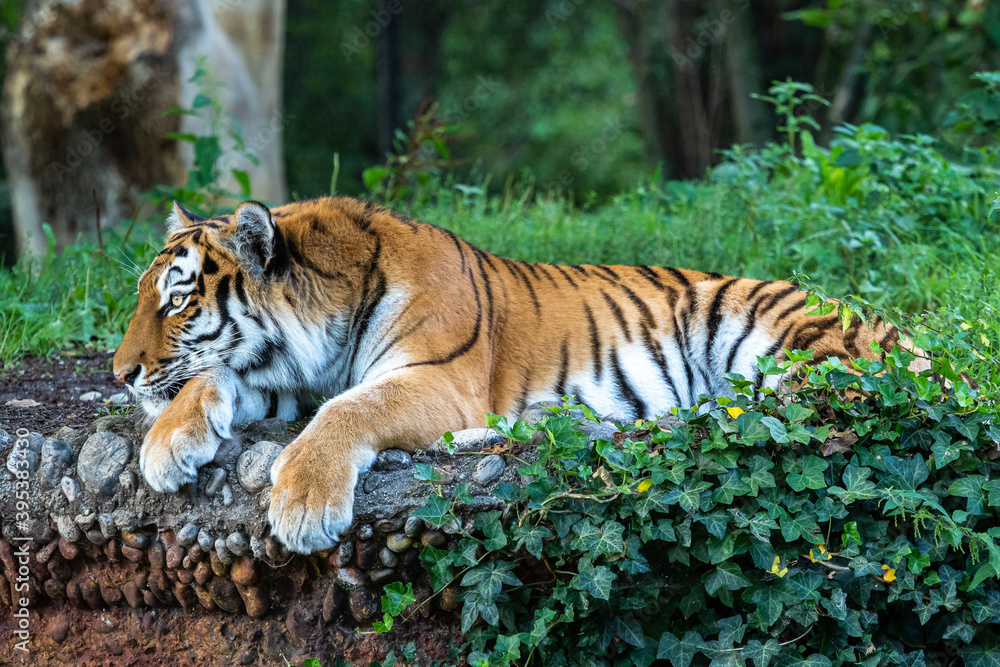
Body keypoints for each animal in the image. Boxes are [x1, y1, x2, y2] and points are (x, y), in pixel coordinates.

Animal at [112, 197, 928, 554]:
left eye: (178, 299)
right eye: (147, 296)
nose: (120, 373)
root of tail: (895, 330)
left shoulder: (436, 377)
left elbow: (347, 409)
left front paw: (304, 502)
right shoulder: (274, 375)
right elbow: (209, 380)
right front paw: (168, 444)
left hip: (767, 331)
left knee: (791, 409)